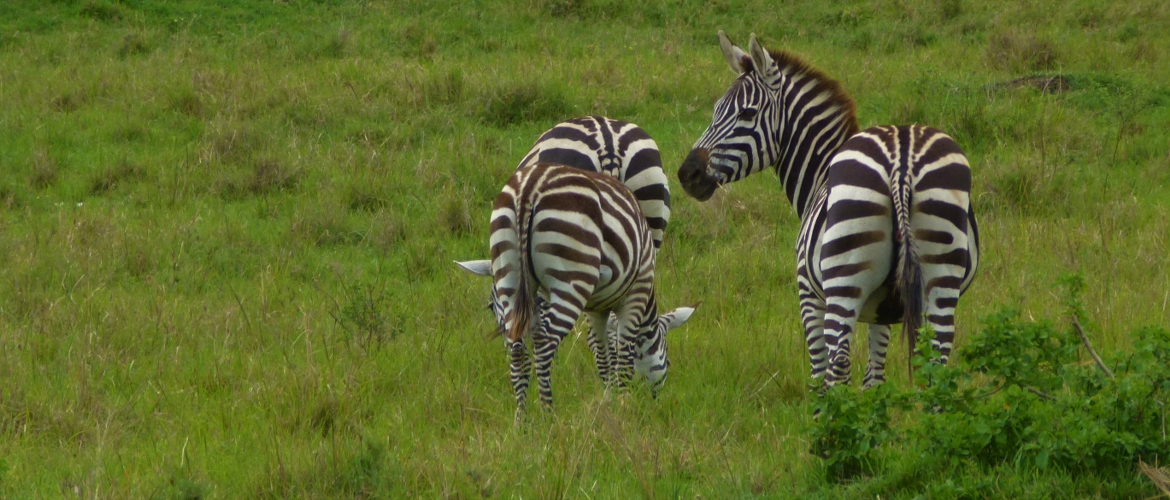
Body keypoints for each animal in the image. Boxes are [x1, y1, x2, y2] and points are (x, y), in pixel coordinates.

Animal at [456, 163, 692, 423]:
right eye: (667, 359)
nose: (653, 401)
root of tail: (530, 186)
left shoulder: (596, 309)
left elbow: (602, 355)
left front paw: (609, 401)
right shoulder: (635, 295)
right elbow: (623, 356)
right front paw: (623, 403)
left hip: (509, 276)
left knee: (518, 350)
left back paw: (522, 421)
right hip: (572, 276)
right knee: (544, 345)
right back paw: (549, 415)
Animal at [673, 32, 982, 391]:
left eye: (747, 114)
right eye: (716, 111)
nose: (687, 174)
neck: (821, 172)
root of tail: (901, 159)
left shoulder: (807, 292)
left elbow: (819, 371)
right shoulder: (883, 310)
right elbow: (874, 377)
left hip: (843, 282)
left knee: (837, 368)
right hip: (941, 277)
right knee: (938, 365)